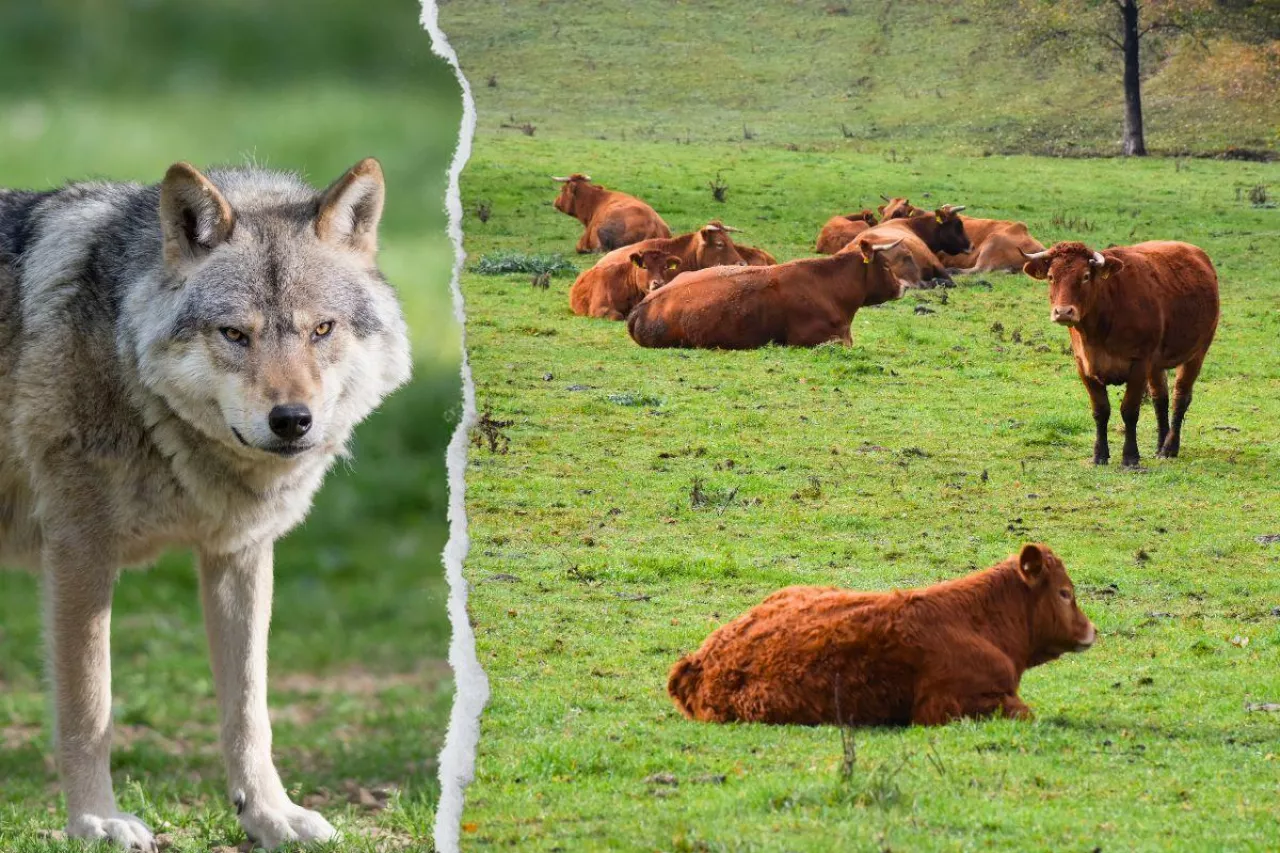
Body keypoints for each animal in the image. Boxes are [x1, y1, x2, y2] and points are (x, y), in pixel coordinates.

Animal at [0, 157, 409, 845]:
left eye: (322, 329)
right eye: (235, 334)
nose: (292, 420)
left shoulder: (239, 554)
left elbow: (249, 710)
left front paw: (271, 816)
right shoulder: (79, 555)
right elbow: (89, 708)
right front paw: (97, 822)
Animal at [665, 545, 1095, 722]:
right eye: (1065, 592)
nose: (1091, 629)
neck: (978, 624)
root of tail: (698, 662)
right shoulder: (949, 705)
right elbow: (1025, 712)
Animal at [1018, 239, 1218, 466]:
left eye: (1085, 276)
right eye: (1051, 276)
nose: (1063, 312)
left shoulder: (1139, 363)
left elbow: (1129, 410)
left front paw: (1130, 457)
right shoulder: (1084, 365)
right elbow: (1100, 410)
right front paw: (1099, 455)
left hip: (1197, 352)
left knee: (1180, 397)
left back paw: (1169, 448)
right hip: (1156, 364)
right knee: (1160, 399)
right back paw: (1160, 445)